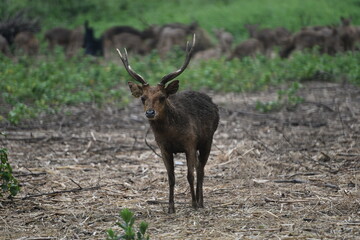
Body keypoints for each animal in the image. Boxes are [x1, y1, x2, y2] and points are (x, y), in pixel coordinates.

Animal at [116, 34, 221, 213]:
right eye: (143, 98)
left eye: (162, 97)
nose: (150, 112)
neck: (171, 134)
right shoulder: (163, 147)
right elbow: (171, 177)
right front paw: (170, 207)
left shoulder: (190, 143)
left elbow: (190, 174)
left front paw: (193, 204)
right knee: (198, 167)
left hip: (208, 140)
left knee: (201, 170)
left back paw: (200, 202)